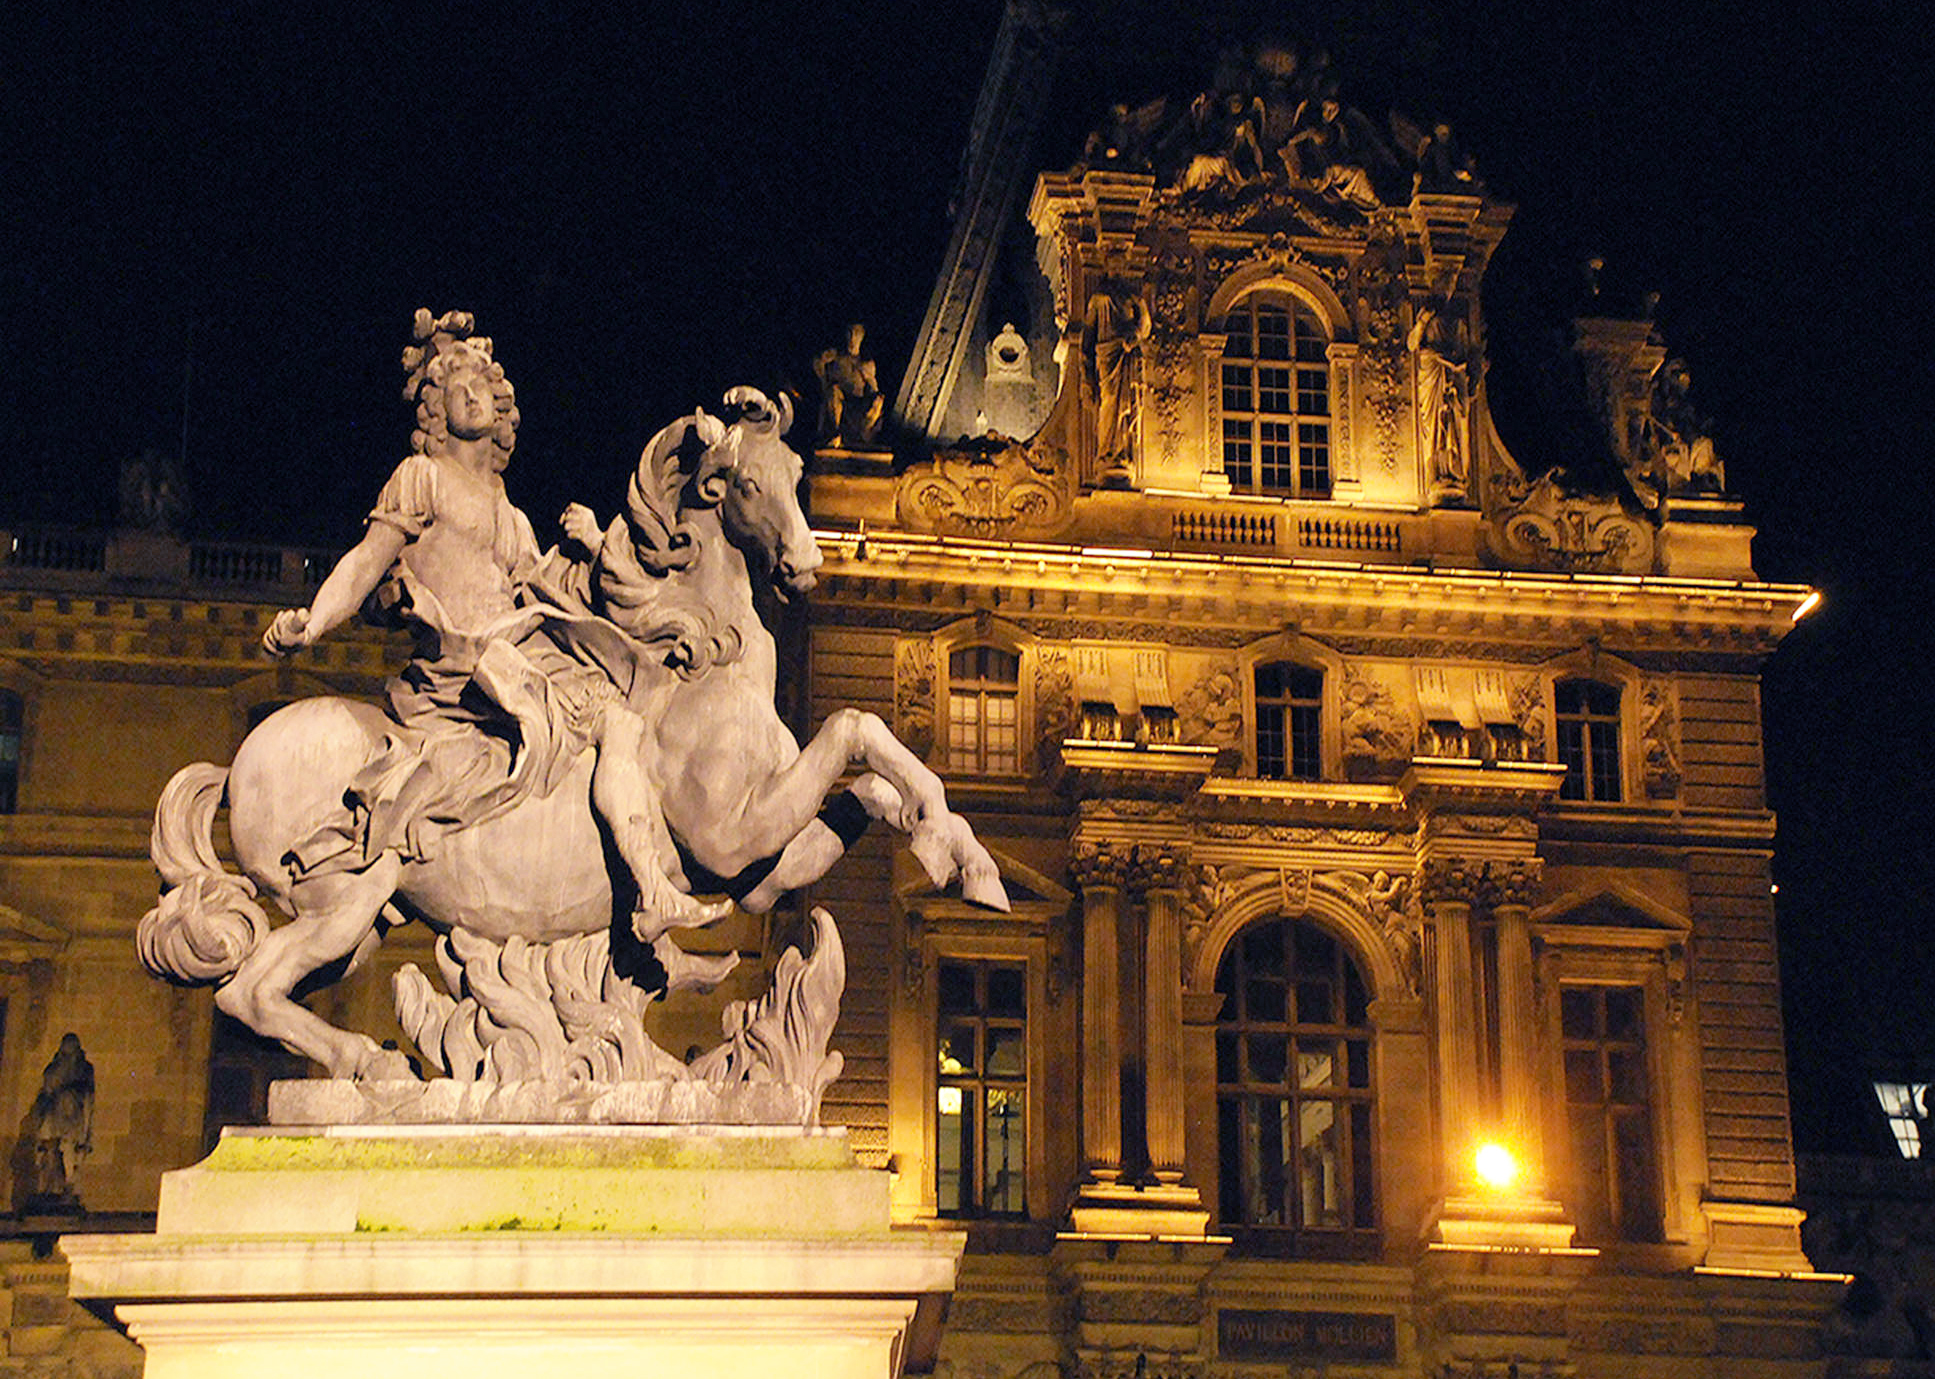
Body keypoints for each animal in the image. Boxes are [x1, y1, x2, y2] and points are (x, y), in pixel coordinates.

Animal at [141, 386, 1006, 1075]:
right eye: (747, 482)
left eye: (797, 474)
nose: (804, 565)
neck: (702, 659)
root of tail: (240, 760)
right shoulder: (733, 838)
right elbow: (858, 724)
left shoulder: (764, 867)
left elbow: (869, 785)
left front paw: (957, 852)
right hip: (343, 897)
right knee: (248, 993)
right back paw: (371, 1066)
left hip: (352, 919)